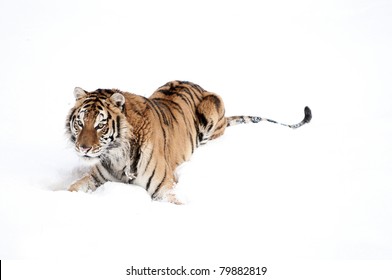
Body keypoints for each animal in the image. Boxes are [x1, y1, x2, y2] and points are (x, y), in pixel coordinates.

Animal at [66, 80, 312, 203]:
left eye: (100, 125)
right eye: (80, 122)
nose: (83, 148)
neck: (118, 157)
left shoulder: (164, 187)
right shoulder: (95, 178)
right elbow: (72, 188)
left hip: (211, 106)